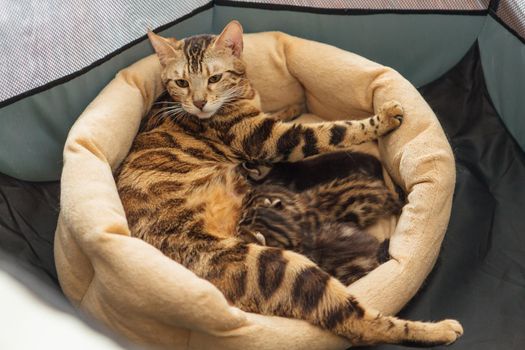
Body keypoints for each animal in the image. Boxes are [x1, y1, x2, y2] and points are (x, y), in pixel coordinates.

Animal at [115, 20, 462, 346]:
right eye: (182, 82)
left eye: (214, 78)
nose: (199, 103)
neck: (240, 91)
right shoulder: (270, 138)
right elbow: (333, 130)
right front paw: (386, 117)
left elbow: (282, 112)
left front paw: (293, 105)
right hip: (281, 268)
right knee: (358, 323)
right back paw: (438, 330)